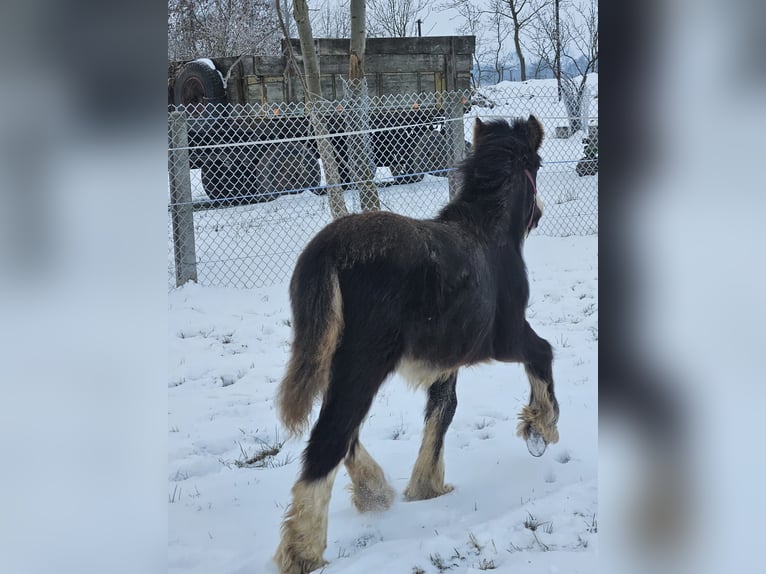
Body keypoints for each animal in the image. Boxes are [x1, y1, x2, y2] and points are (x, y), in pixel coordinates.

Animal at [274, 117, 560, 574]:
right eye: (537, 164)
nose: (539, 213)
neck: (490, 237)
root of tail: (327, 250)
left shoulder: (446, 361)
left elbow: (442, 412)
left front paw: (427, 486)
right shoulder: (506, 339)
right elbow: (542, 353)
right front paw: (540, 427)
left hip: (331, 361)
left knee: (342, 432)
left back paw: (373, 491)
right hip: (363, 365)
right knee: (330, 437)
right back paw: (304, 549)